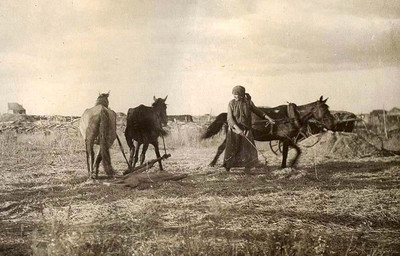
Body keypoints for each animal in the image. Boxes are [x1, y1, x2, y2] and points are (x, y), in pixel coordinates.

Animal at [200, 96, 334, 168]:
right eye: (323, 109)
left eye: (328, 108)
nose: (331, 124)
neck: (291, 117)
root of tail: (227, 115)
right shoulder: (287, 139)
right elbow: (297, 150)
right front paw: (291, 163)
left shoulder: (284, 140)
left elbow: (286, 153)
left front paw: (284, 166)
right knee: (222, 148)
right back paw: (214, 163)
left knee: (222, 147)